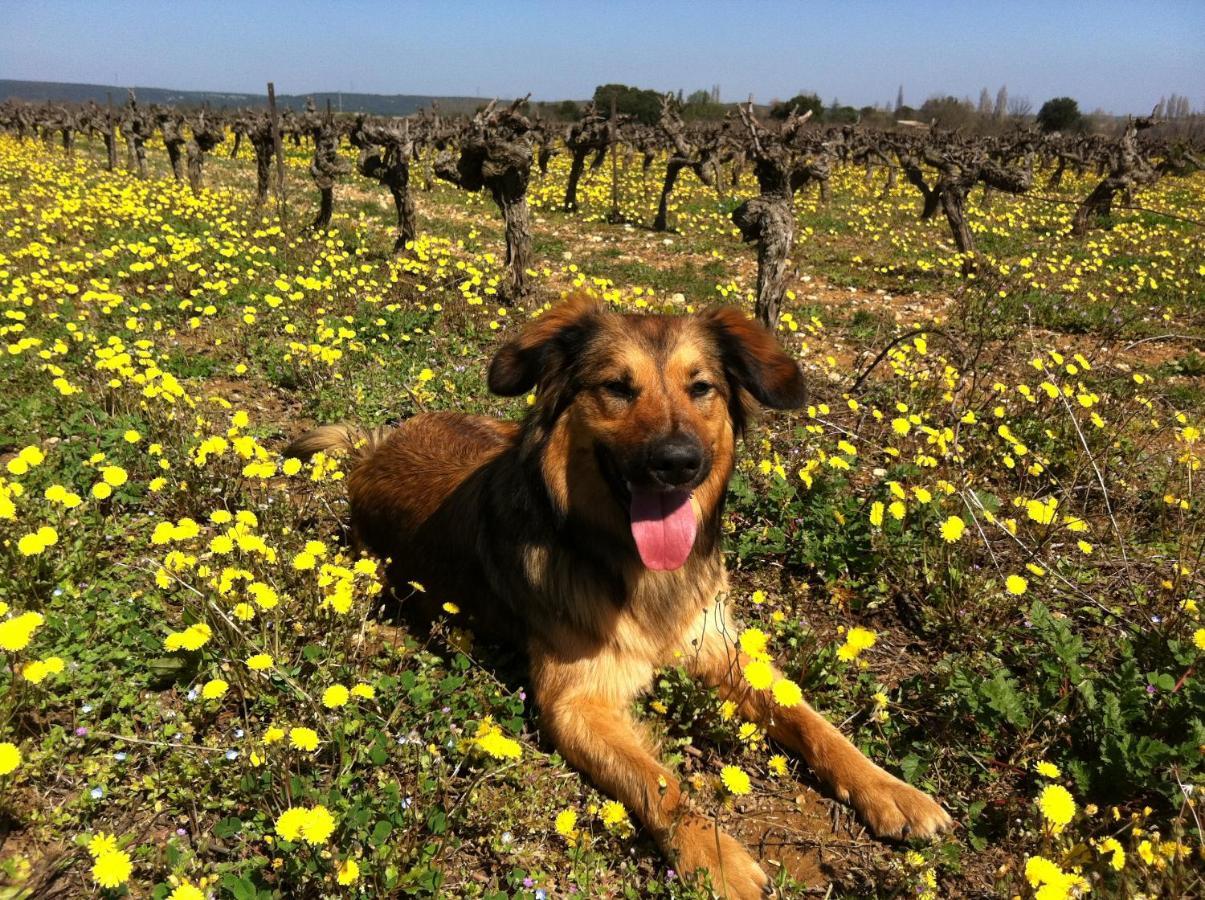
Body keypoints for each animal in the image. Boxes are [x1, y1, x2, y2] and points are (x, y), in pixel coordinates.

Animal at [284, 293, 949, 896]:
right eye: (617, 388)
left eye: (701, 387)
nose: (678, 463)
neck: (635, 568)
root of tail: (373, 450)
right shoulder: (575, 704)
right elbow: (661, 782)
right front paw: (717, 860)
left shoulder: (718, 648)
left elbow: (811, 720)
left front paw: (890, 789)